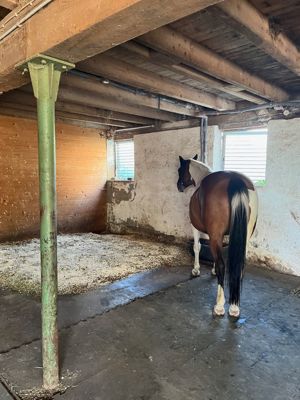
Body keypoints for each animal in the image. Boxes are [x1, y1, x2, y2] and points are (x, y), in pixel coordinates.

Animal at [178, 156, 258, 318]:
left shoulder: (196, 227)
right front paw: (213, 270)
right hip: (245, 238)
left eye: (180, 170)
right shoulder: (215, 235)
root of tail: (235, 180)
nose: (179, 186)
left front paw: (196, 270)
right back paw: (234, 307)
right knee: (240, 266)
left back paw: (220, 305)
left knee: (223, 265)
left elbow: (197, 247)